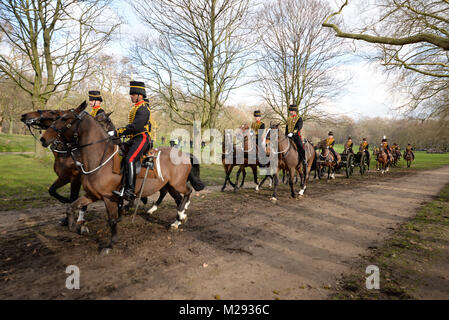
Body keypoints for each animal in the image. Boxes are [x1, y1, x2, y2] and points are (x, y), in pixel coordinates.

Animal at [40, 102, 205, 252]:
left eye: (64, 118)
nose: (43, 138)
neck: (99, 157)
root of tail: (184, 153)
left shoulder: (108, 197)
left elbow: (112, 219)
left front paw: (110, 243)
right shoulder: (92, 194)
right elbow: (71, 207)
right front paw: (78, 228)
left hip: (177, 183)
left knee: (188, 192)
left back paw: (180, 214)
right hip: (169, 185)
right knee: (178, 198)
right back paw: (177, 219)